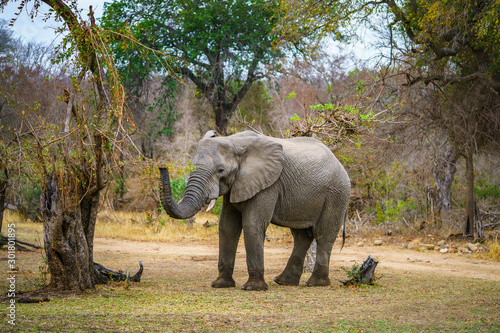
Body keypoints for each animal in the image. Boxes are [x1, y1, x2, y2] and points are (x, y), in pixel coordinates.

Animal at [160, 130, 352, 290]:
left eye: (221, 170)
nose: (162, 166)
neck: (234, 141)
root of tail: (339, 163)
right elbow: (227, 226)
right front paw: (220, 284)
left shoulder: (268, 184)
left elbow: (252, 224)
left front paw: (253, 288)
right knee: (301, 236)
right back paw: (284, 281)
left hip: (336, 193)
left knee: (323, 235)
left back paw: (315, 283)